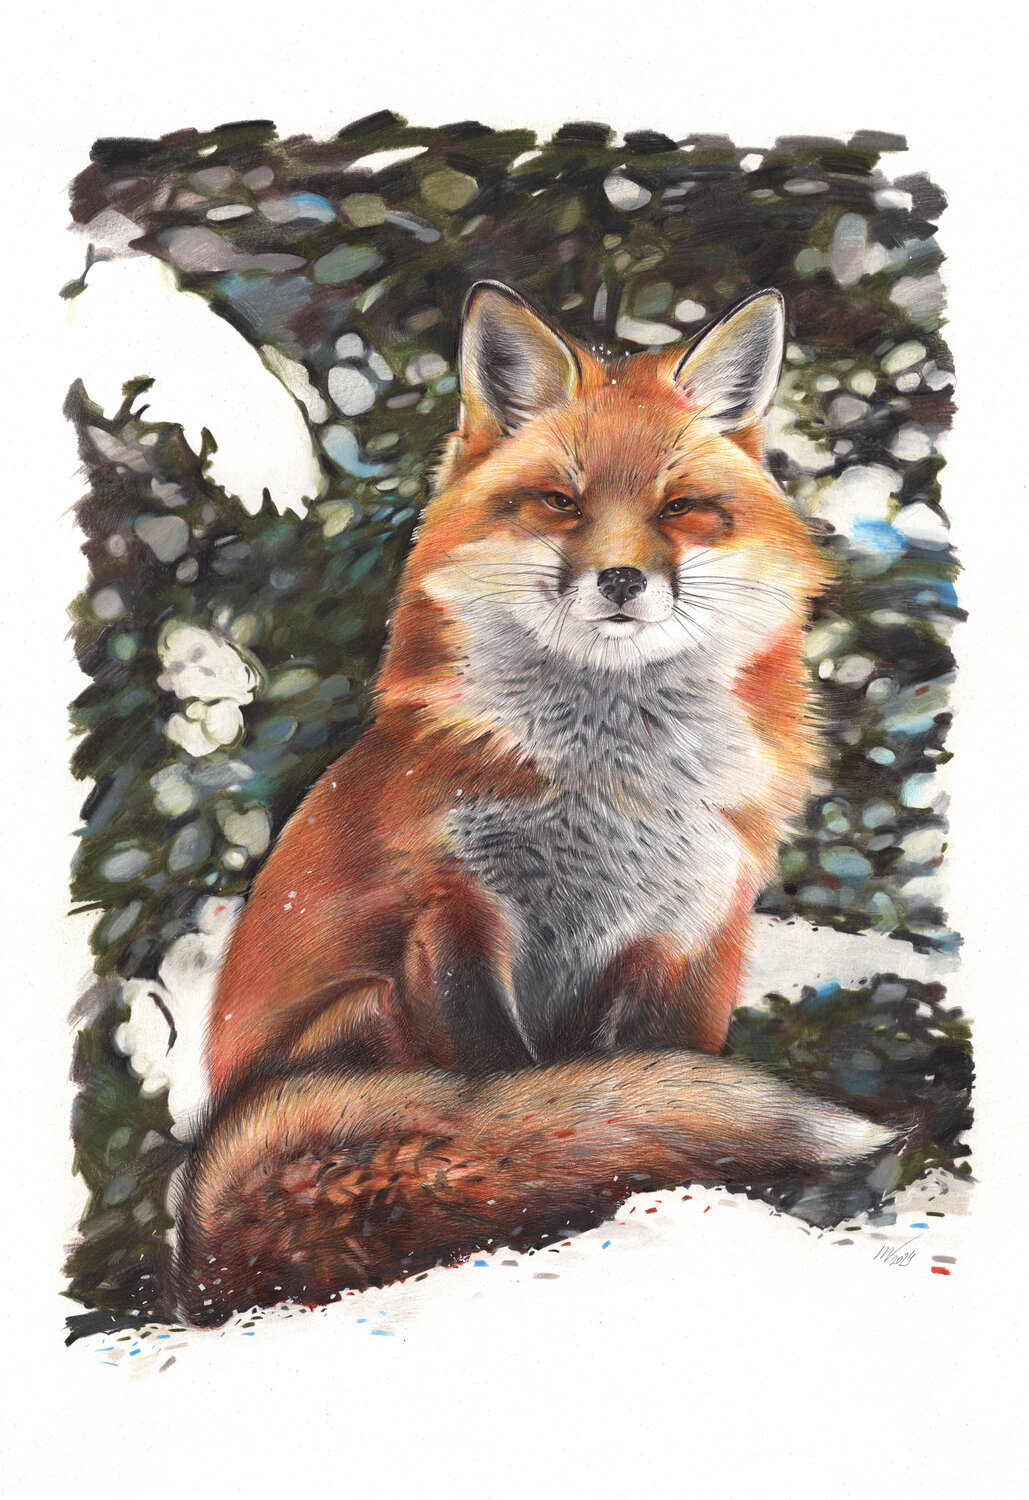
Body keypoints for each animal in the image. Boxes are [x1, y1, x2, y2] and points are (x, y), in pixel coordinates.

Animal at [174, 280, 900, 1325]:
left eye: (681, 508)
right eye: (561, 502)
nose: (622, 580)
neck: (611, 793)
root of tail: (202, 1270)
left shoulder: (675, 936)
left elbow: (631, 1078)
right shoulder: (452, 916)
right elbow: (518, 1100)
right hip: (364, 1010)